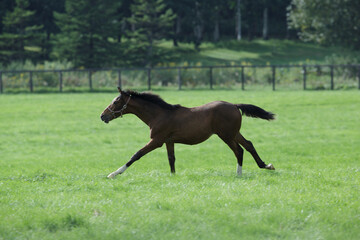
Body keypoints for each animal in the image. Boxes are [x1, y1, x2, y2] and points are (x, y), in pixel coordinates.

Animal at [100, 88, 274, 178]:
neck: (159, 114)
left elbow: (136, 154)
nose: (103, 116)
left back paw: (239, 174)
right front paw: (173, 177)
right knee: (249, 145)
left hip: (226, 135)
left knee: (239, 150)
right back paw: (266, 165)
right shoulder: (169, 141)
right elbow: (171, 159)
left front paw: (114, 173)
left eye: (116, 101)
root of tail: (235, 105)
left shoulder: (157, 140)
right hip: (233, 133)